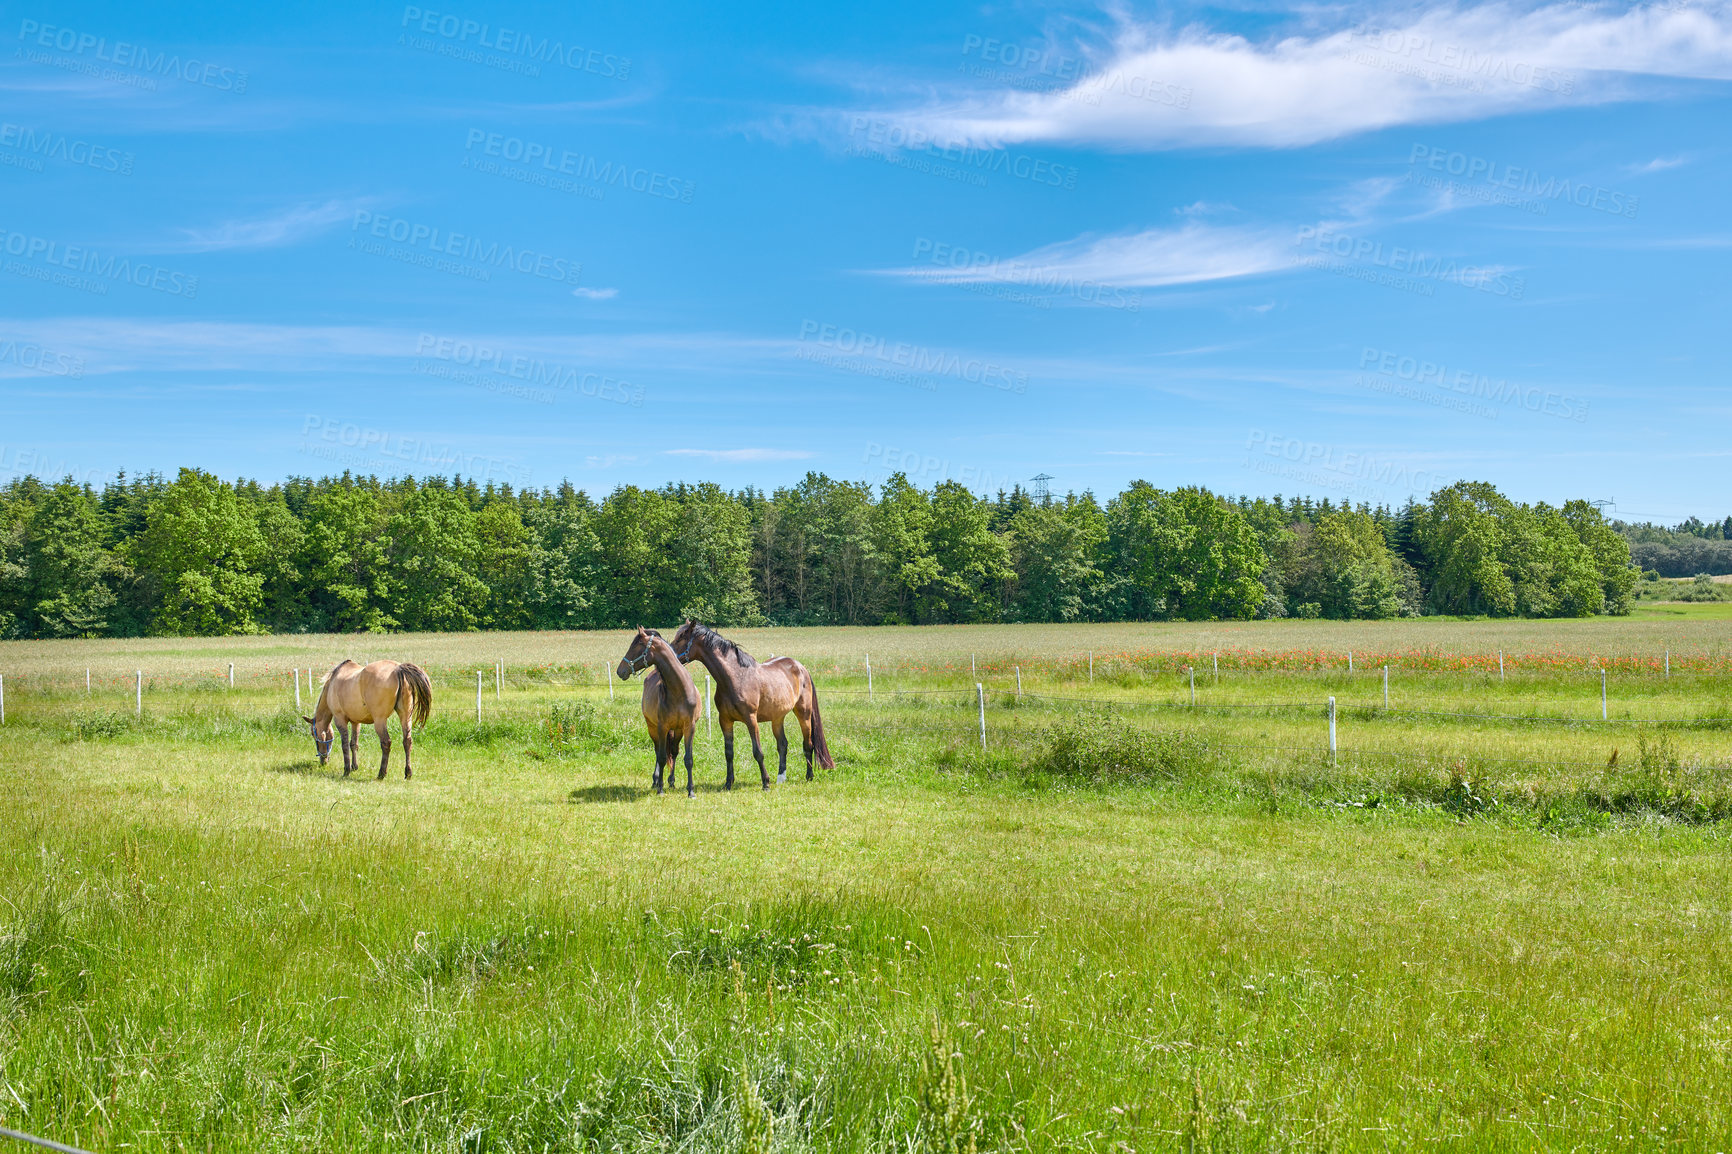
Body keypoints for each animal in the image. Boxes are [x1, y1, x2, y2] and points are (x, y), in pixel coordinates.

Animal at [301, 661, 433, 776]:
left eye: (313, 734)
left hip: (380, 720)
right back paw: (408, 773)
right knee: (407, 741)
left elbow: (345, 745)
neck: (332, 683)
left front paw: (347, 770)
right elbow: (353, 744)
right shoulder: (356, 722)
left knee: (386, 743)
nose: (323, 761)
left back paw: (381, 774)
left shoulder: (340, 720)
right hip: (405, 716)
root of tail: (398, 668)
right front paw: (354, 766)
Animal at [616, 623, 703, 797]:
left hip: (676, 730)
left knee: (674, 752)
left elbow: (688, 759)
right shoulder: (662, 727)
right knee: (658, 751)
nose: (619, 671)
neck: (679, 690)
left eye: (635, 647)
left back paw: (672, 781)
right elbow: (662, 757)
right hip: (653, 727)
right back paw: (656, 780)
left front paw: (690, 790)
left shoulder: (689, 727)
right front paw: (660, 789)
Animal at [661, 620, 831, 790]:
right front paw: (728, 783)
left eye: (681, 638)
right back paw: (781, 778)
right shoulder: (725, 720)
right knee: (782, 745)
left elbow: (758, 752)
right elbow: (729, 753)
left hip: (804, 714)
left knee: (808, 744)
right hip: (777, 717)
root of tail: (801, 667)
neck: (736, 678)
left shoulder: (751, 719)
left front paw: (765, 783)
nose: (667, 656)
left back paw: (809, 776)